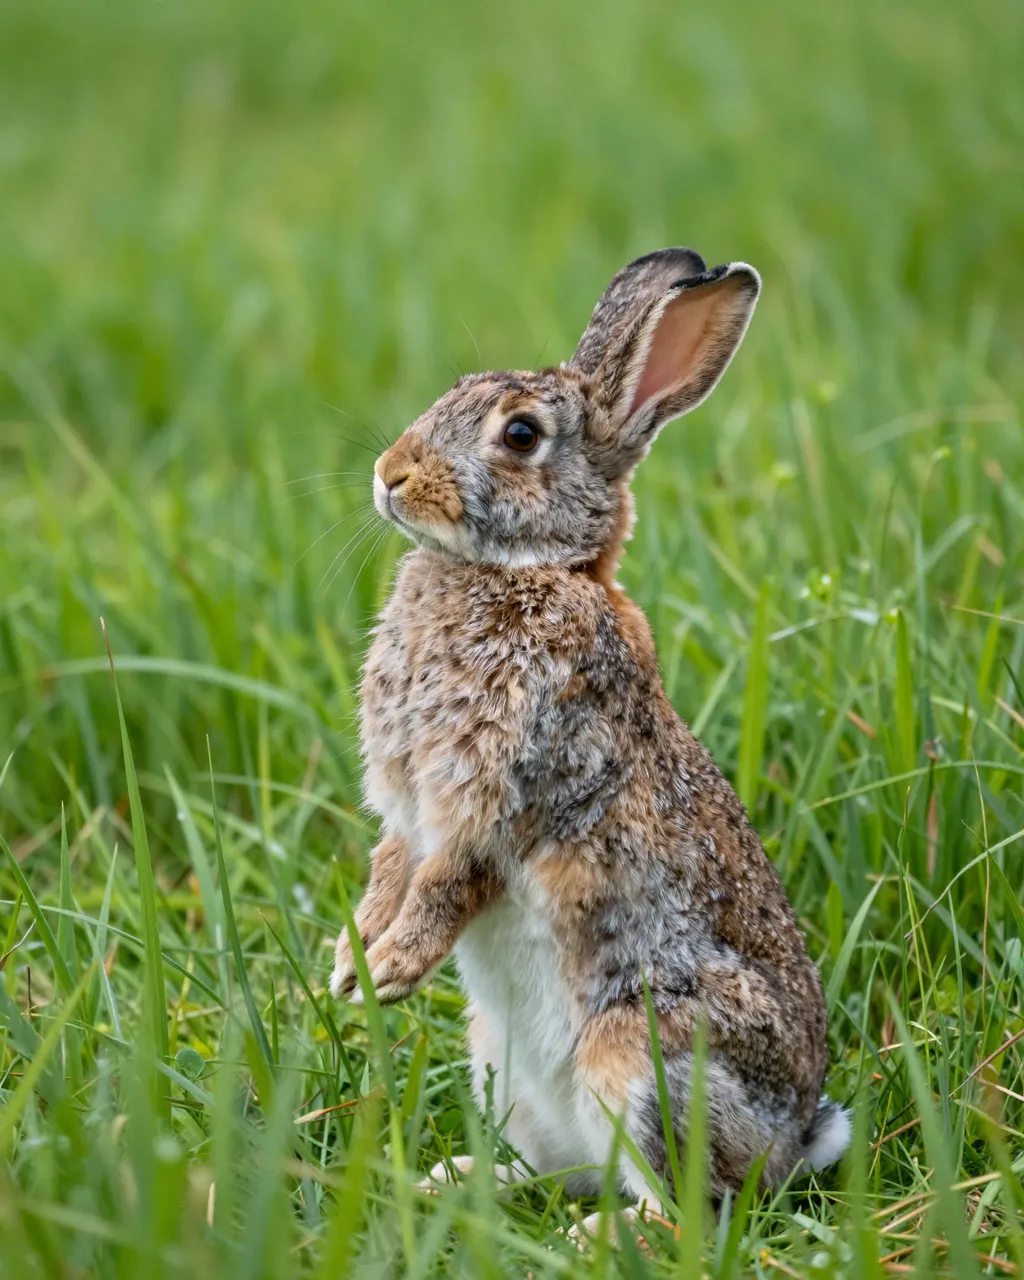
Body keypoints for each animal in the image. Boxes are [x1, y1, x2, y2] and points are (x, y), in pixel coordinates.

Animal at [330, 247, 850, 1207]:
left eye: (520, 436)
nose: (391, 474)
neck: (523, 571)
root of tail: (793, 1139)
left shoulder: (510, 789)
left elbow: (447, 881)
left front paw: (391, 969)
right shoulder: (407, 808)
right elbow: (389, 863)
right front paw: (350, 960)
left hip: (642, 1051)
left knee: (679, 1209)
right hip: (502, 1065)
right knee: (555, 1172)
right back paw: (453, 1181)